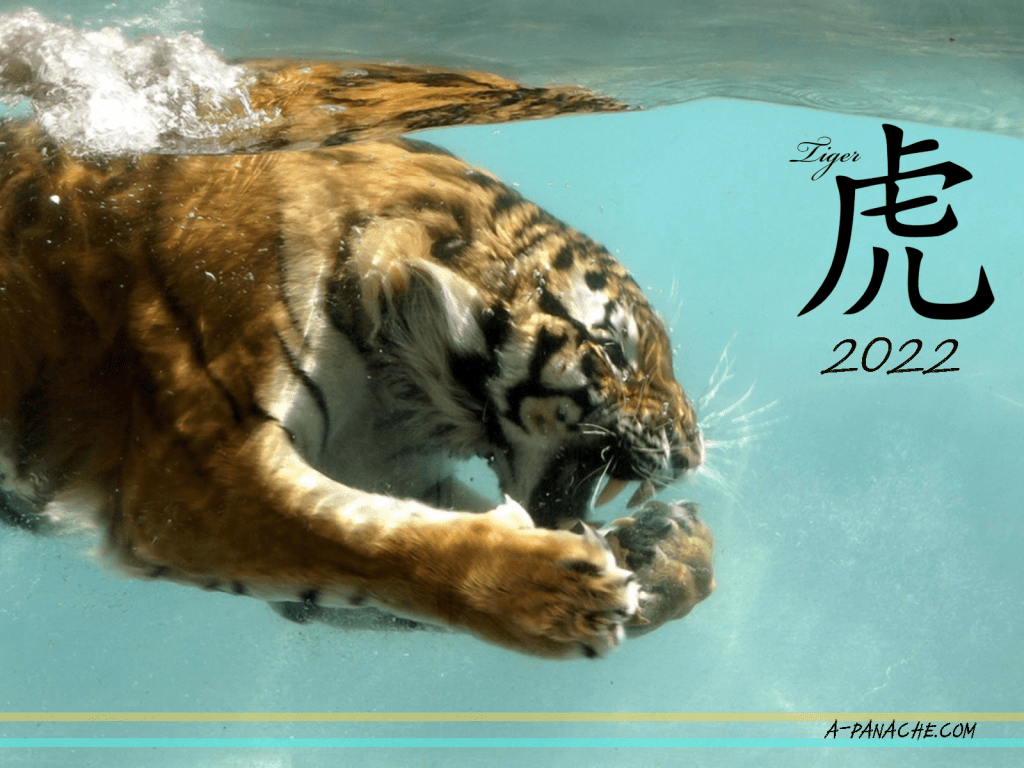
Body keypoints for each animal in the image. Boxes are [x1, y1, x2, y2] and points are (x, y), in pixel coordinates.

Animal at [0, 58, 715, 659]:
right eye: (615, 350)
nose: (692, 452)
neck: (392, 376)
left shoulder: (378, 461)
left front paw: (670, 556)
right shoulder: (194, 479)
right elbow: (373, 541)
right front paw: (558, 596)